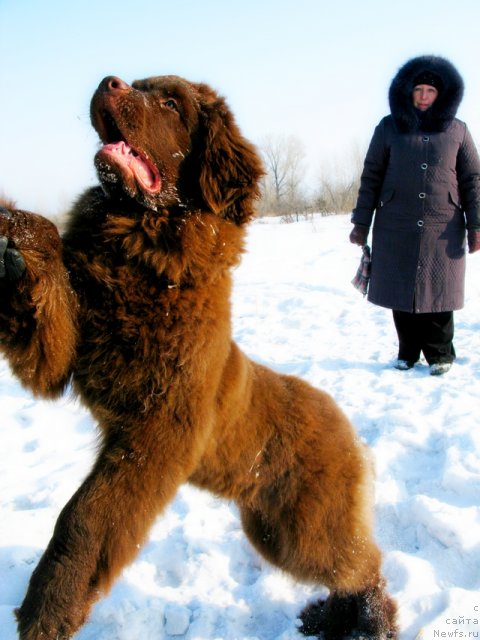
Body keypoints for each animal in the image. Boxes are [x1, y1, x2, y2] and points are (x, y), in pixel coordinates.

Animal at [0, 74, 398, 636]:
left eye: (170, 102)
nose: (109, 82)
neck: (143, 257)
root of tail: (348, 427)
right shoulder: (66, 354)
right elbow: (48, 293)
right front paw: (15, 242)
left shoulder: (158, 430)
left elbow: (88, 518)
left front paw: (47, 610)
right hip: (271, 529)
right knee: (347, 570)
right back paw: (328, 618)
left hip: (307, 528)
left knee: (364, 566)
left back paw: (374, 623)